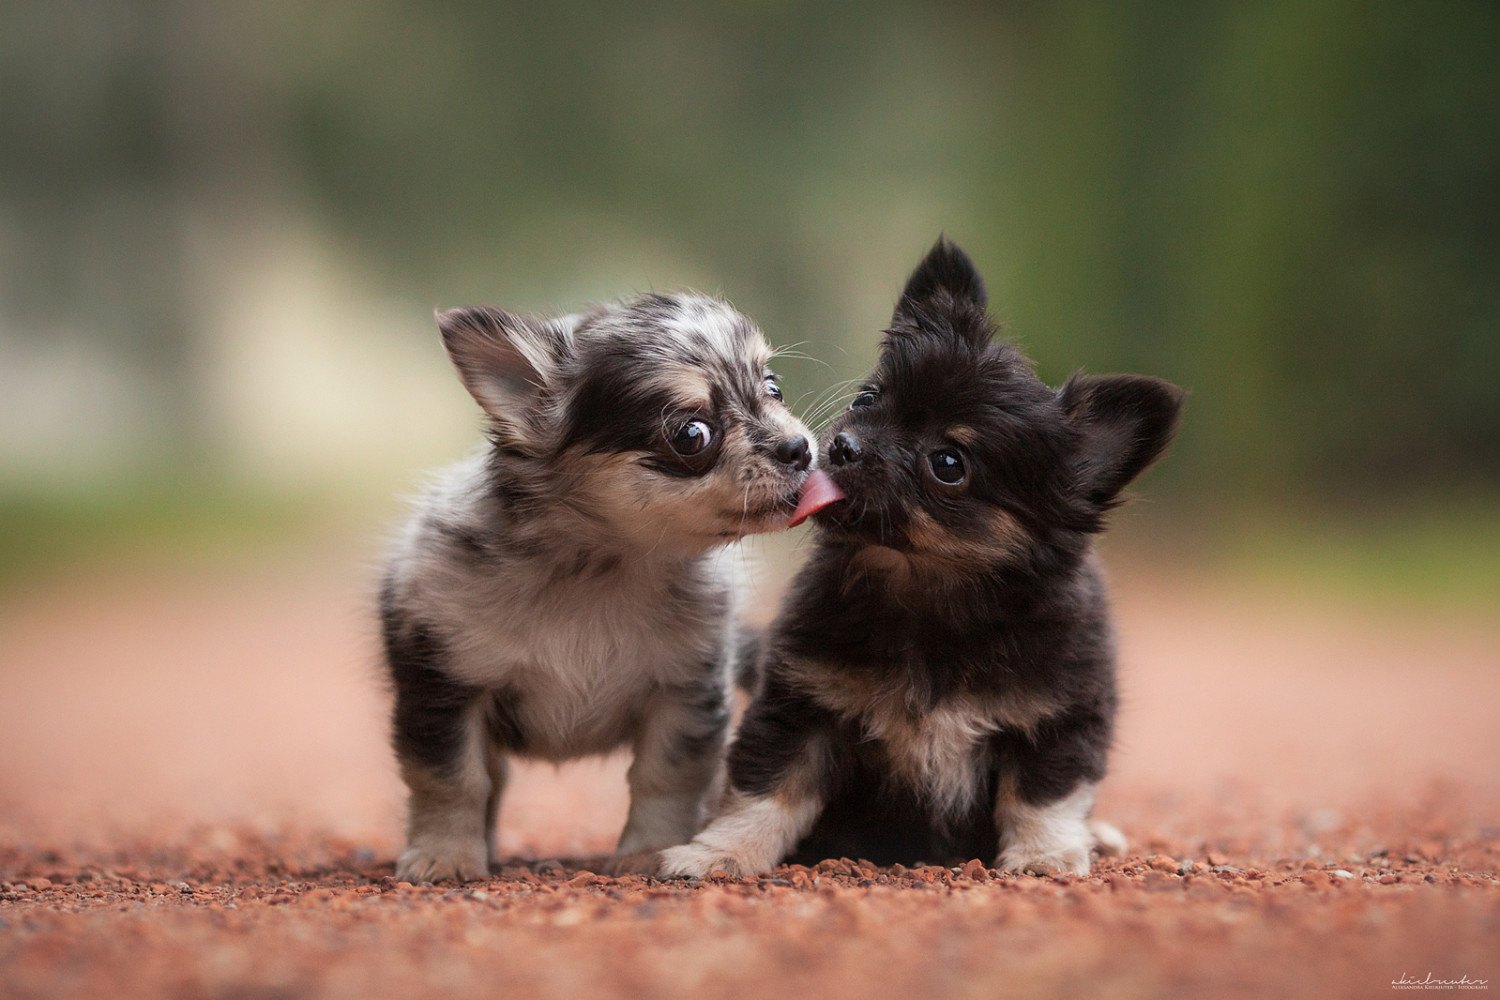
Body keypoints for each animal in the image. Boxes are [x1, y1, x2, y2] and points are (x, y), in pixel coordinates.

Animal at [381, 290, 816, 881]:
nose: (800, 448)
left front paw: (649, 851)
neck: (601, 567)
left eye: (773, 387)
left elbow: (665, 778)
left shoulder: (684, 693)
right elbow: (454, 780)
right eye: (692, 435)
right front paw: (443, 856)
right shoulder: (444, 688)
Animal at [657, 239, 1182, 875]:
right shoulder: (801, 710)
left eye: (948, 464)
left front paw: (1045, 855)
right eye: (869, 399)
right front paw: (721, 853)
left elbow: (1041, 796)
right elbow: (766, 792)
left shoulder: (1057, 720)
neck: (924, 601)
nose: (843, 446)